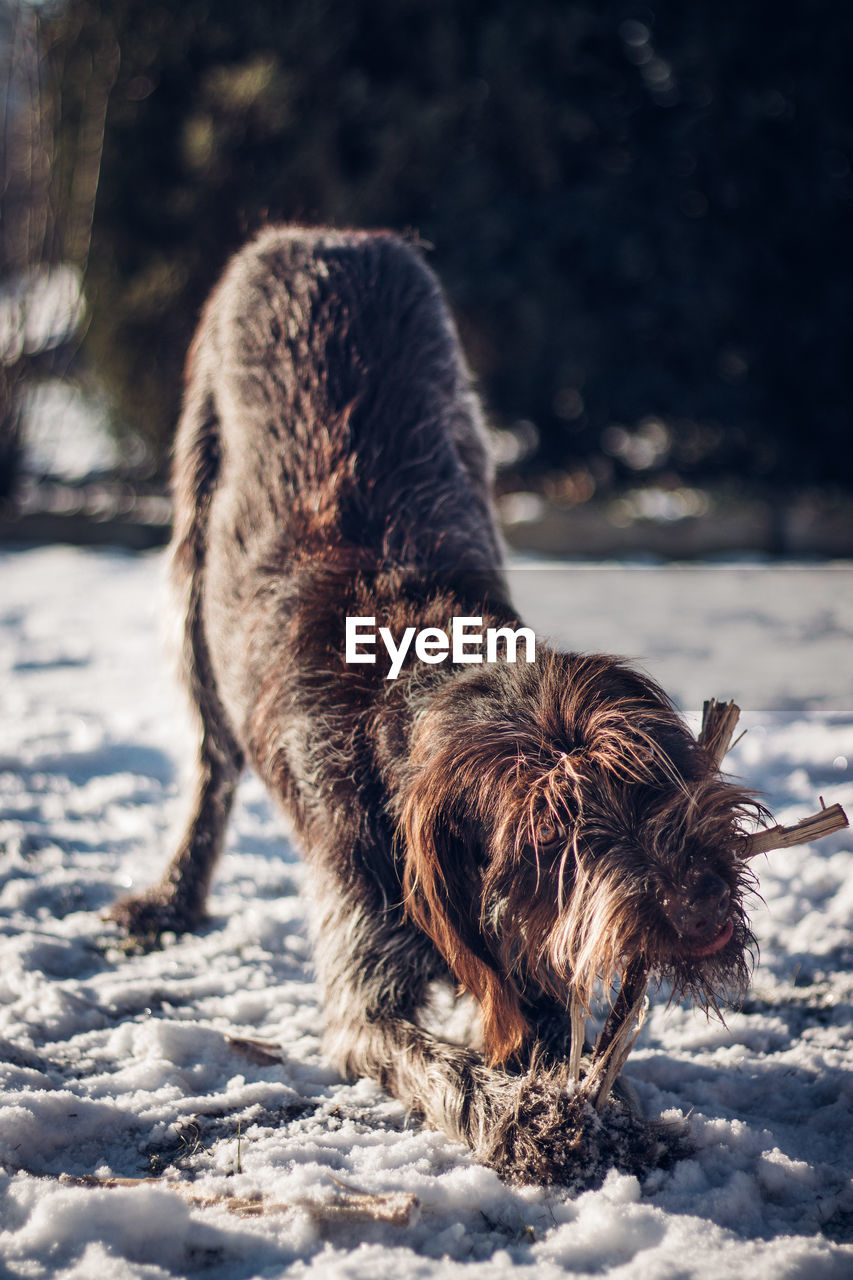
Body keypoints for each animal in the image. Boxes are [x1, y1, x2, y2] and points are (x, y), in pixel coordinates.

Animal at [112, 227, 758, 1187]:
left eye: (650, 780)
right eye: (547, 835)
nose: (701, 902)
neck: (410, 683)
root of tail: (319, 237)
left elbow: (555, 1035)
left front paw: (610, 1111)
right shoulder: (365, 990)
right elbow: (445, 1069)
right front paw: (539, 1126)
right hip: (193, 539)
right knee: (209, 760)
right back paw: (174, 892)